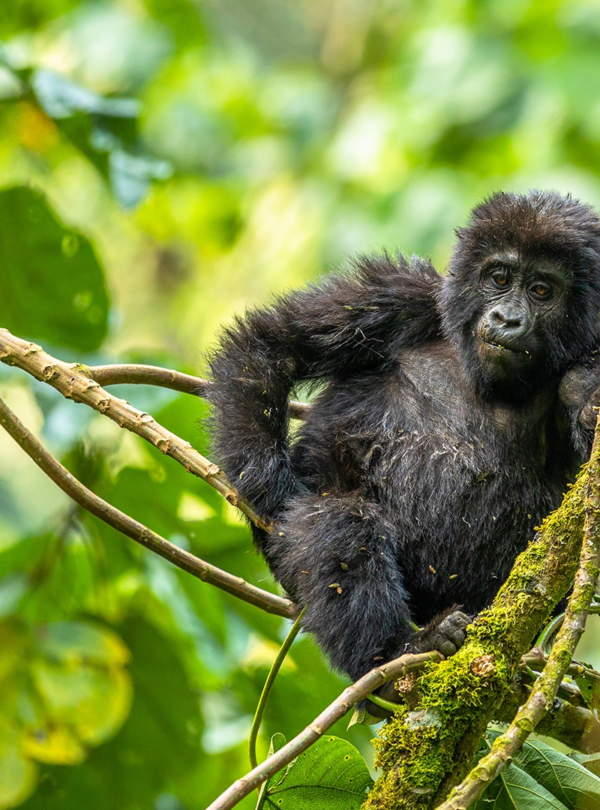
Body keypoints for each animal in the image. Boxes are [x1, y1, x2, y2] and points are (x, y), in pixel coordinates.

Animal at [207, 191, 600, 682]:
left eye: (542, 290)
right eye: (499, 278)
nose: (507, 318)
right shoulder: (401, 294)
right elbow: (272, 345)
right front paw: (270, 487)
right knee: (339, 524)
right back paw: (393, 651)